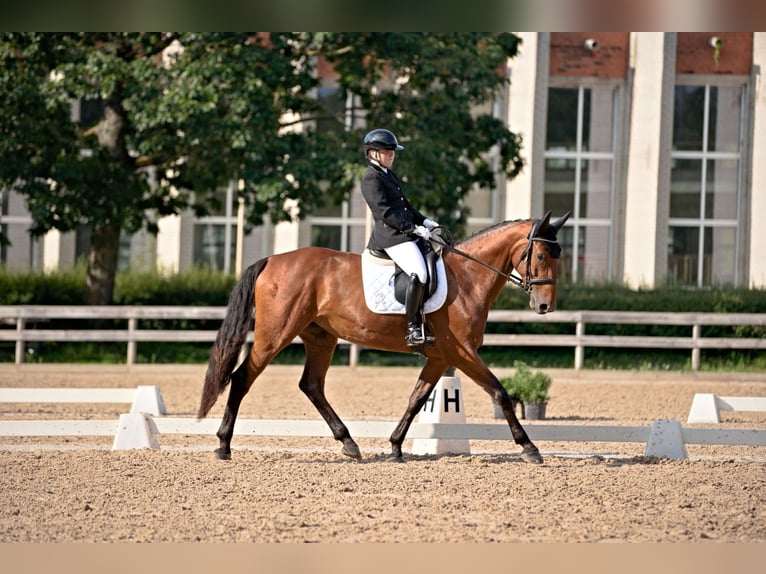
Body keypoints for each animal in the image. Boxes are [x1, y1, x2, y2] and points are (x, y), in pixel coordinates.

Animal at [198, 210, 571, 463]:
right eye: (540, 255)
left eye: (559, 257)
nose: (545, 306)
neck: (467, 278)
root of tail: (272, 259)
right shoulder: (462, 352)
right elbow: (500, 393)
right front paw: (529, 447)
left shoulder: (441, 357)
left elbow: (416, 399)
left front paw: (395, 446)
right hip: (274, 335)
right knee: (241, 378)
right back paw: (223, 445)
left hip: (321, 338)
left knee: (312, 385)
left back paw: (349, 443)